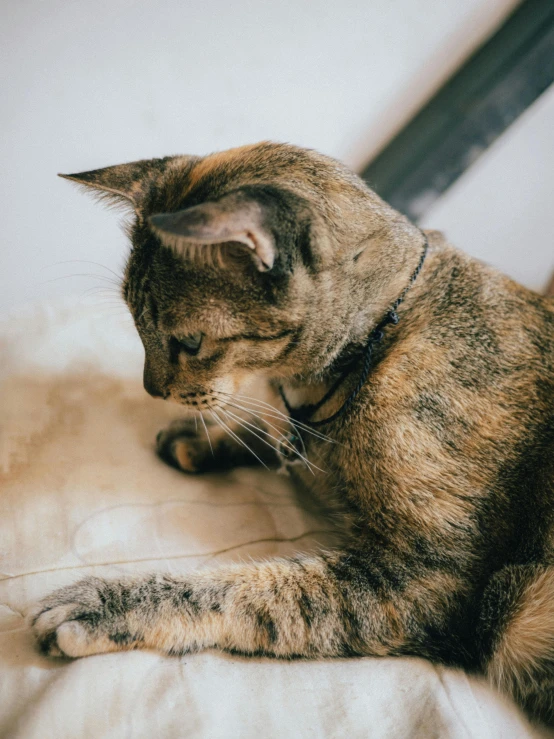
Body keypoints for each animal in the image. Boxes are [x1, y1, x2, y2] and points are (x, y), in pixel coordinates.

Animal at [31, 142, 552, 724]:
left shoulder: (429, 580)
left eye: (188, 342)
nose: (151, 389)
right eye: (132, 320)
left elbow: (250, 592)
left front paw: (106, 604)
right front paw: (210, 437)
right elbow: (274, 434)